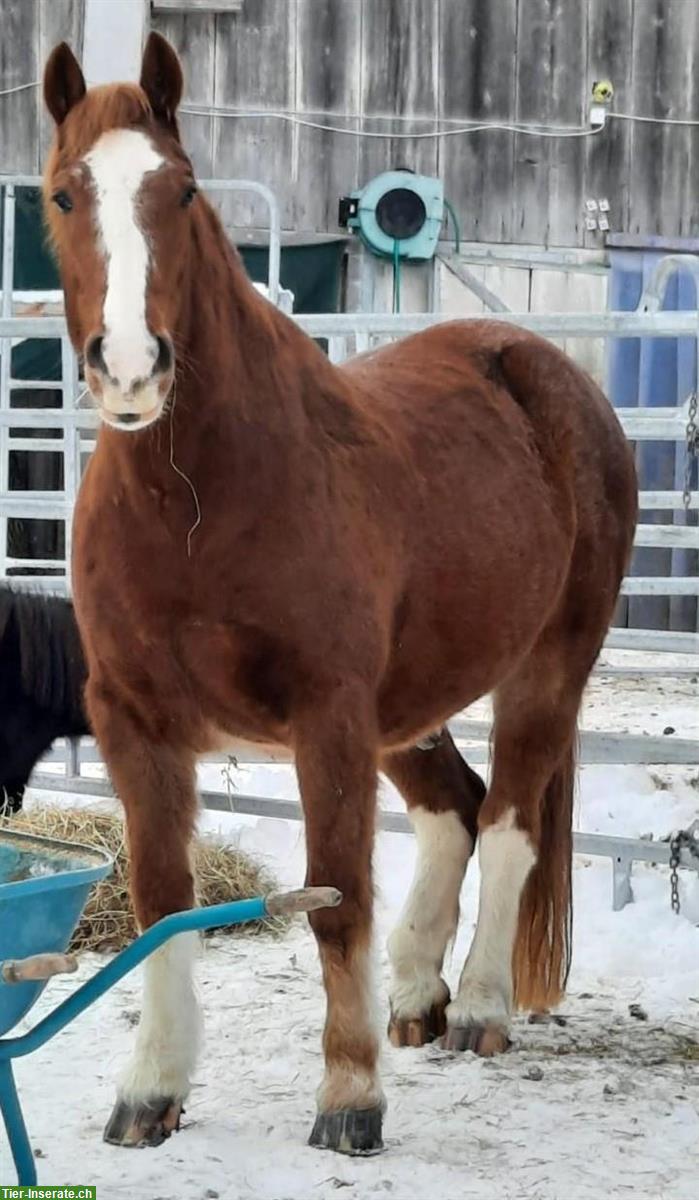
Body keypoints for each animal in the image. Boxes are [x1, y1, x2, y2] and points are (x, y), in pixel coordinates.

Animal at [41, 37, 638, 1156]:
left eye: (181, 190)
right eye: (61, 194)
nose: (133, 369)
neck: (200, 500)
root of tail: (546, 373)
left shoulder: (327, 718)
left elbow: (335, 902)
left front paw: (350, 1098)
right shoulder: (132, 721)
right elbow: (159, 902)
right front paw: (150, 1092)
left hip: (545, 671)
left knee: (509, 824)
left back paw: (478, 1007)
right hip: (408, 705)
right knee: (454, 810)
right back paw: (413, 997)